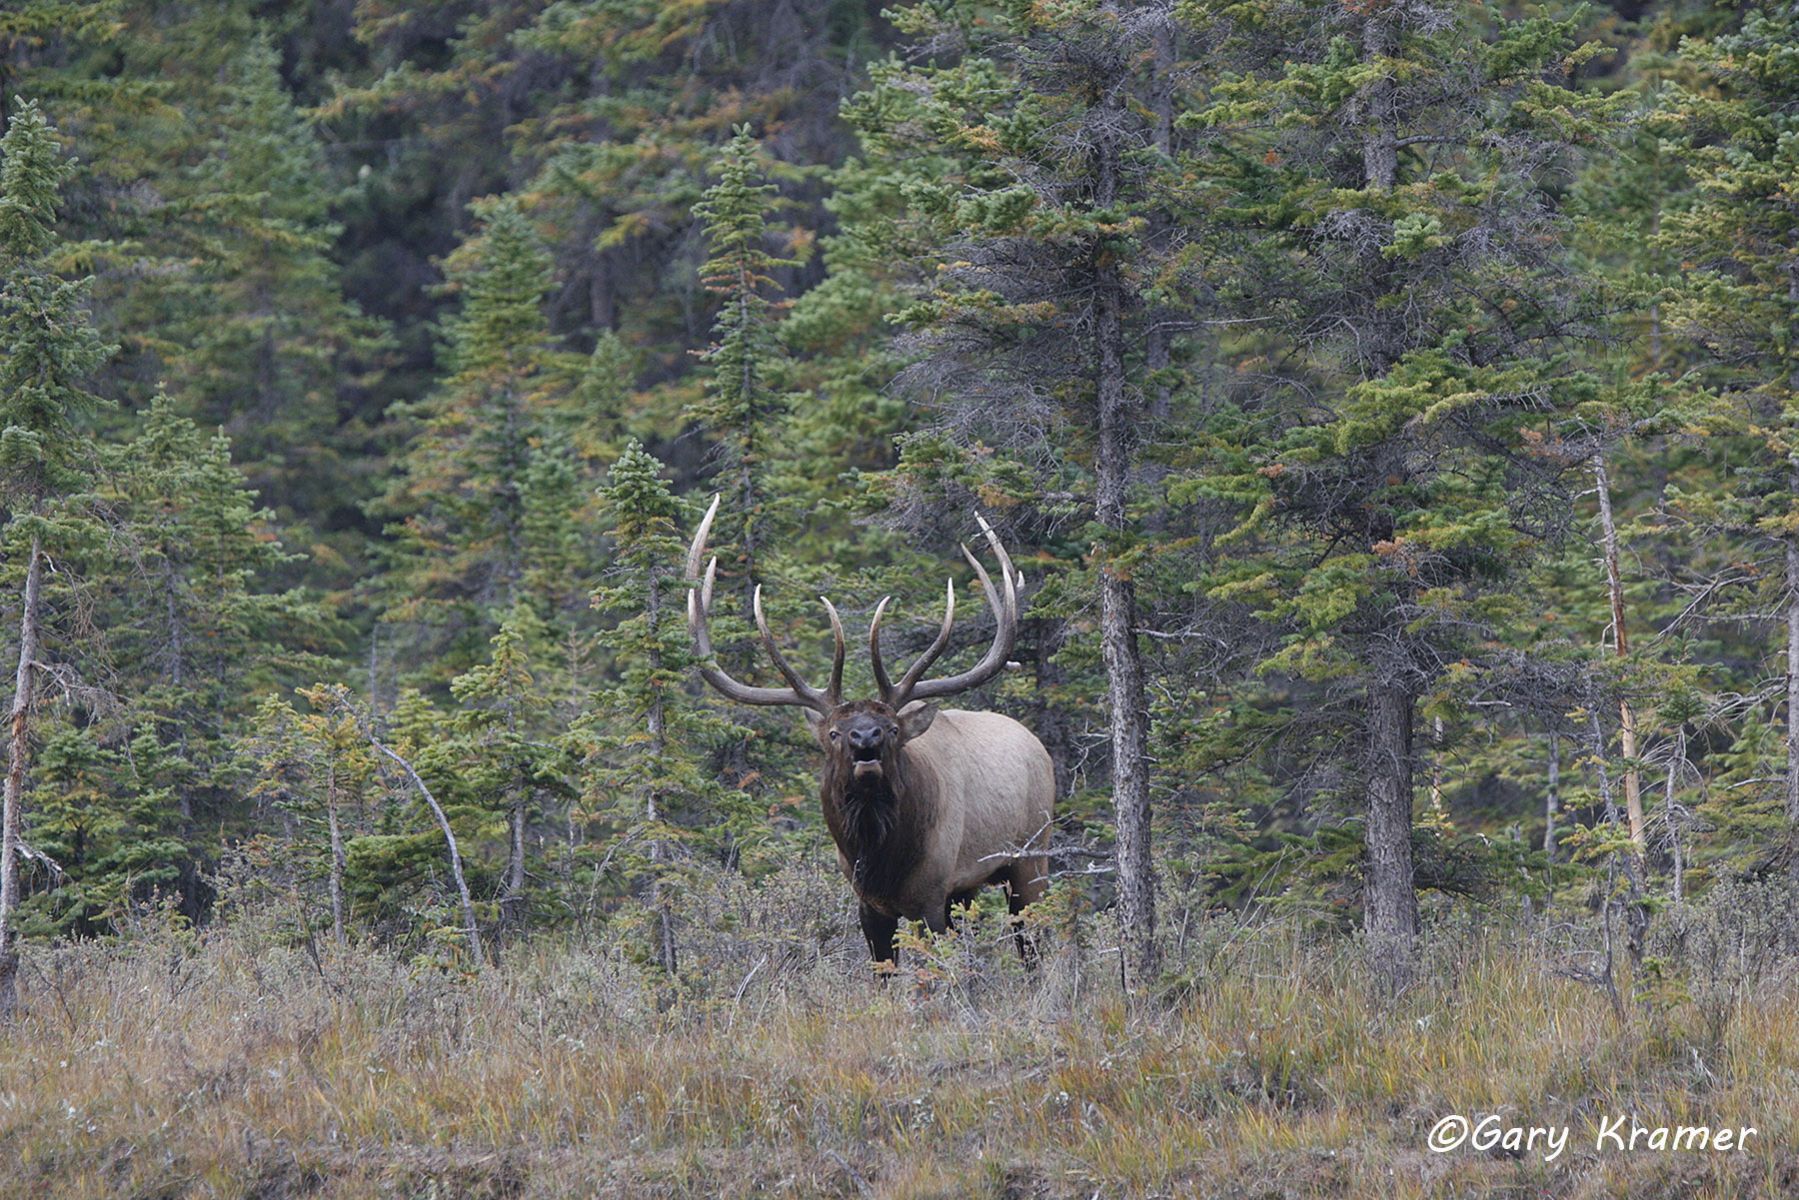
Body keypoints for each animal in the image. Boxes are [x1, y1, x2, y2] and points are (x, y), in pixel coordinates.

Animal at [684, 496, 1054, 969]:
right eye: (834, 733)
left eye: (892, 728)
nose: (866, 739)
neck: (882, 861)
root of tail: (1038, 745)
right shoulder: (869, 904)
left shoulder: (933, 894)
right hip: (971, 888)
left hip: (1031, 857)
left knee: (1033, 944)